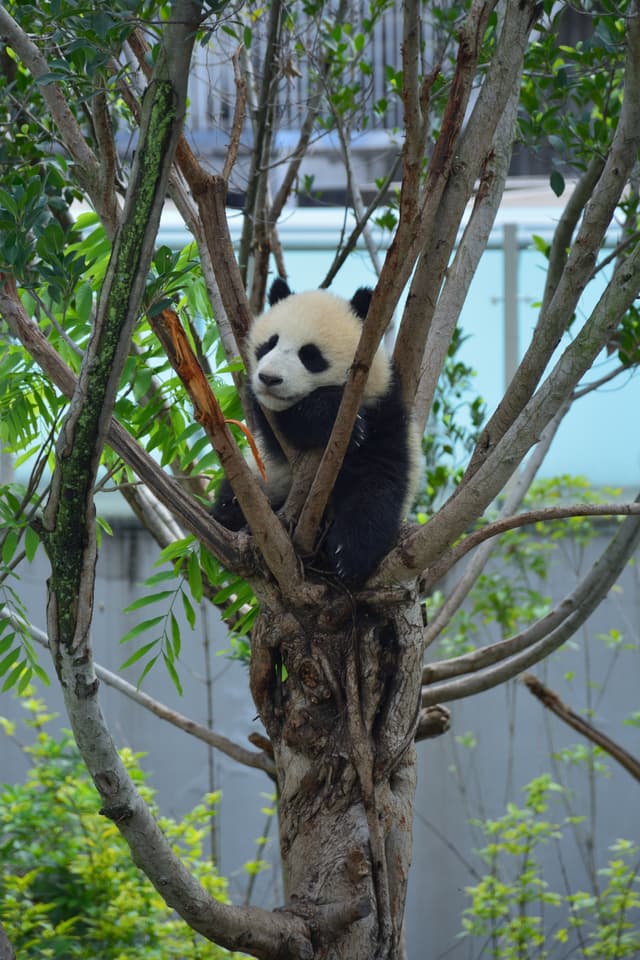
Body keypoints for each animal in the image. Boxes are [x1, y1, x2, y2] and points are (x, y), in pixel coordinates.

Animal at [212, 278, 420, 586]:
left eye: (310, 355)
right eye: (269, 344)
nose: (269, 378)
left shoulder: (385, 411)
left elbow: (378, 479)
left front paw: (349, 557)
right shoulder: (267, 420)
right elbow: (285, 424)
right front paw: (331, 418)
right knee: (230, 504)